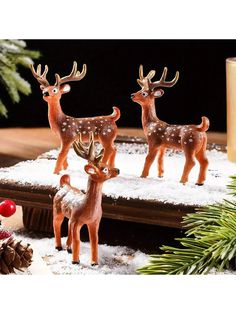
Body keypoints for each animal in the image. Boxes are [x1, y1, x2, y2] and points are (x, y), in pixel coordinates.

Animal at [53, 132, 120, 264]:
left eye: (107, 164)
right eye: (105, 169)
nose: (118, 170)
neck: (88, 209)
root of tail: (65, 184)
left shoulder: (95, 222)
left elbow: (94, 241)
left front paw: (94, 262)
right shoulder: (77, 221)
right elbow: (78, 240)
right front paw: (75, 261)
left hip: (70, 217)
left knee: (67, 225)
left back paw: (68, 248)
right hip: (57, 209)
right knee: (56, 224)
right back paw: (58, 246)